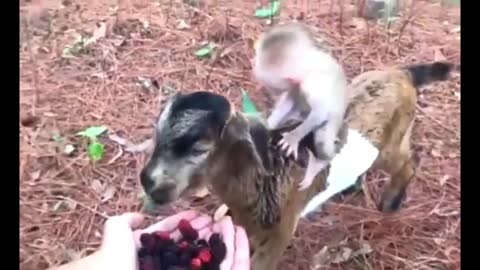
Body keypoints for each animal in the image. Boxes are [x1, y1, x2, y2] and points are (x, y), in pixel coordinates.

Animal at [140, 61, 454, 270]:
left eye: (199, 149)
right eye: (157, 134)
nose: (147, 181)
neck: (260, 179)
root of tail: (403, 74)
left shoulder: (280, 230)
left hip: (392, 141)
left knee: (408, 162)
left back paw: (390, 202)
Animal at [253, 23, 346, 191]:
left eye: (272, 86)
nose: (272, 91)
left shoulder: (313, 82)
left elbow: (320, 112)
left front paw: (293, 137)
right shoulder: (297, 85)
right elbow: (289, 100)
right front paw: (268, 125)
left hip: (332, 124)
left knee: (322, 138)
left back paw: (317, 165)